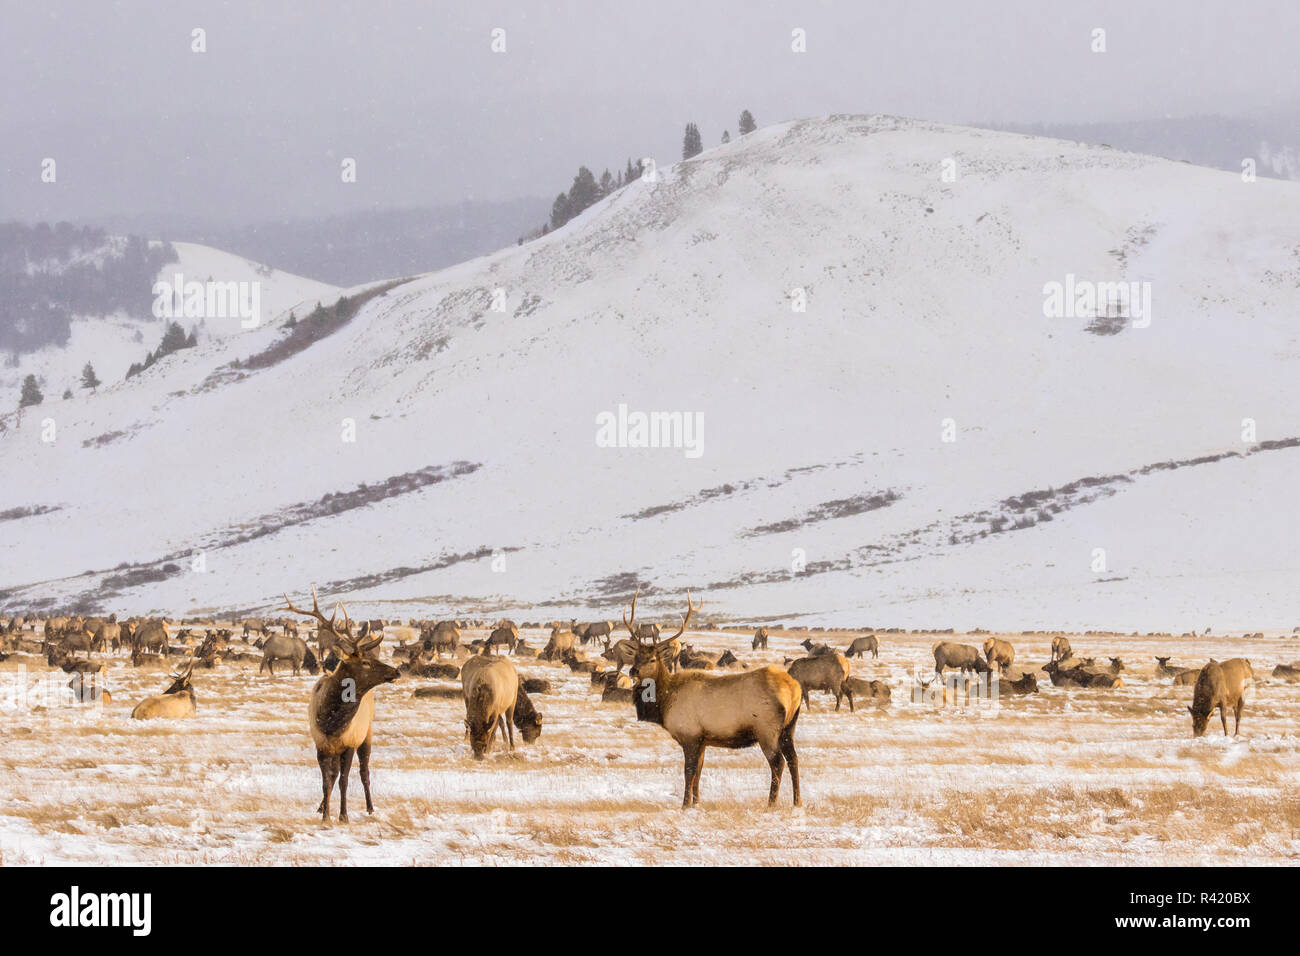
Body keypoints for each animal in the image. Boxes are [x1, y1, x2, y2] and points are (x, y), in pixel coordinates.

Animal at [286, 582, 397, 822]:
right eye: (365, 662)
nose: (397, 671)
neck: (332, 723)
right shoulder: (320, 744)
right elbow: (327, 781)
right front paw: (325, 815)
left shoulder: (350, 743)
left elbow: (344, 781)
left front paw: (343, 816)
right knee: (335, 775)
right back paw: (321, 806)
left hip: (367, 734)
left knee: (364, 772)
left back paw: (370, 807)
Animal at [621, 590, 800, 806]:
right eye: (635, 656)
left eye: (653, 659)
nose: (633, 671)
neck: (664, 703)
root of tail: (794, 688)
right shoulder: (703, 739)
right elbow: (698, 772)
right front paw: (696, 803)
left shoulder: (690, 735)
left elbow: (688, 772)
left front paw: (685, 804)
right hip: (789, 727)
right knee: (794, 759)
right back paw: (797, 801)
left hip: (767, 728)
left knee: (777, 762)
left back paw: (771, 803)